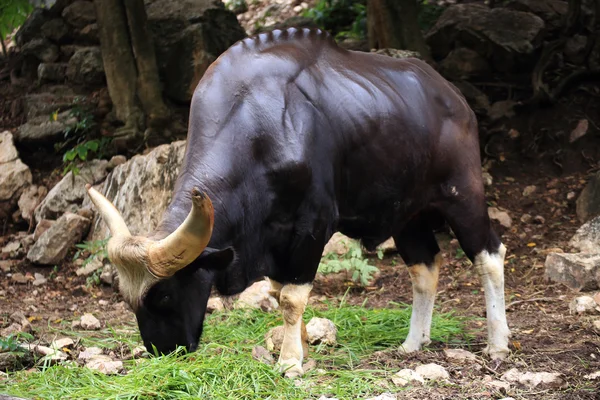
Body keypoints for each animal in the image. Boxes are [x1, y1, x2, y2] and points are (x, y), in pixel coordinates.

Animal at [86, 27, 508, 376]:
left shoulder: (312, 228)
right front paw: (299, 348)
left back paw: (498, 344)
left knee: (489, 254)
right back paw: (413, 342)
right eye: (127, 299)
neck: (257, 125)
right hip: (408, 215)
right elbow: (278, 294)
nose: (163, 351)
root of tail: (455, 99)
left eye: (165, 294)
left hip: (463, 194)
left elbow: (291, 297)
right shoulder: (273, 241)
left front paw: (290, 362)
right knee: (424, 268)